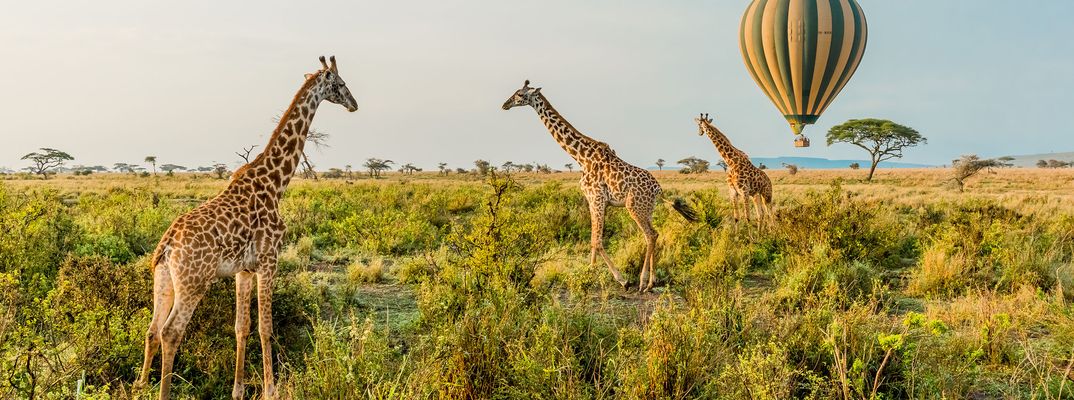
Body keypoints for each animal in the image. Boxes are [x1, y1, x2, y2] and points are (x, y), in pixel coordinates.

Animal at [135, 56, 356, 400]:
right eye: (342, 84)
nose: (354, 105)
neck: (276, 183)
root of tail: (168, 244)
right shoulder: (269, 260)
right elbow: (266, 328)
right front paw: (270, 389)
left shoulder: (244, 270)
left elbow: (242, 327)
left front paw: (238, 389)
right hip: (194, 282)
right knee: (171, 332)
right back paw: (163, 392)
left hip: (164, 279)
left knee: (152, 330)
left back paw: (141, 386)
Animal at [502, 80, 695, 294]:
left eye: (520, 94)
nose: (505, 105)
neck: (580, 157)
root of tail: (658, 189)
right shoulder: (592, 200)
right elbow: (593, 240)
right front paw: (590, 272)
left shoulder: (597, 198)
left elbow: (597, 241)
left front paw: (622, 280)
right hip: (648, 209)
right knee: (654, 234)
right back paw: (652, 282)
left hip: (634, 206)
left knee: (651, 235)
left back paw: (642, 282)